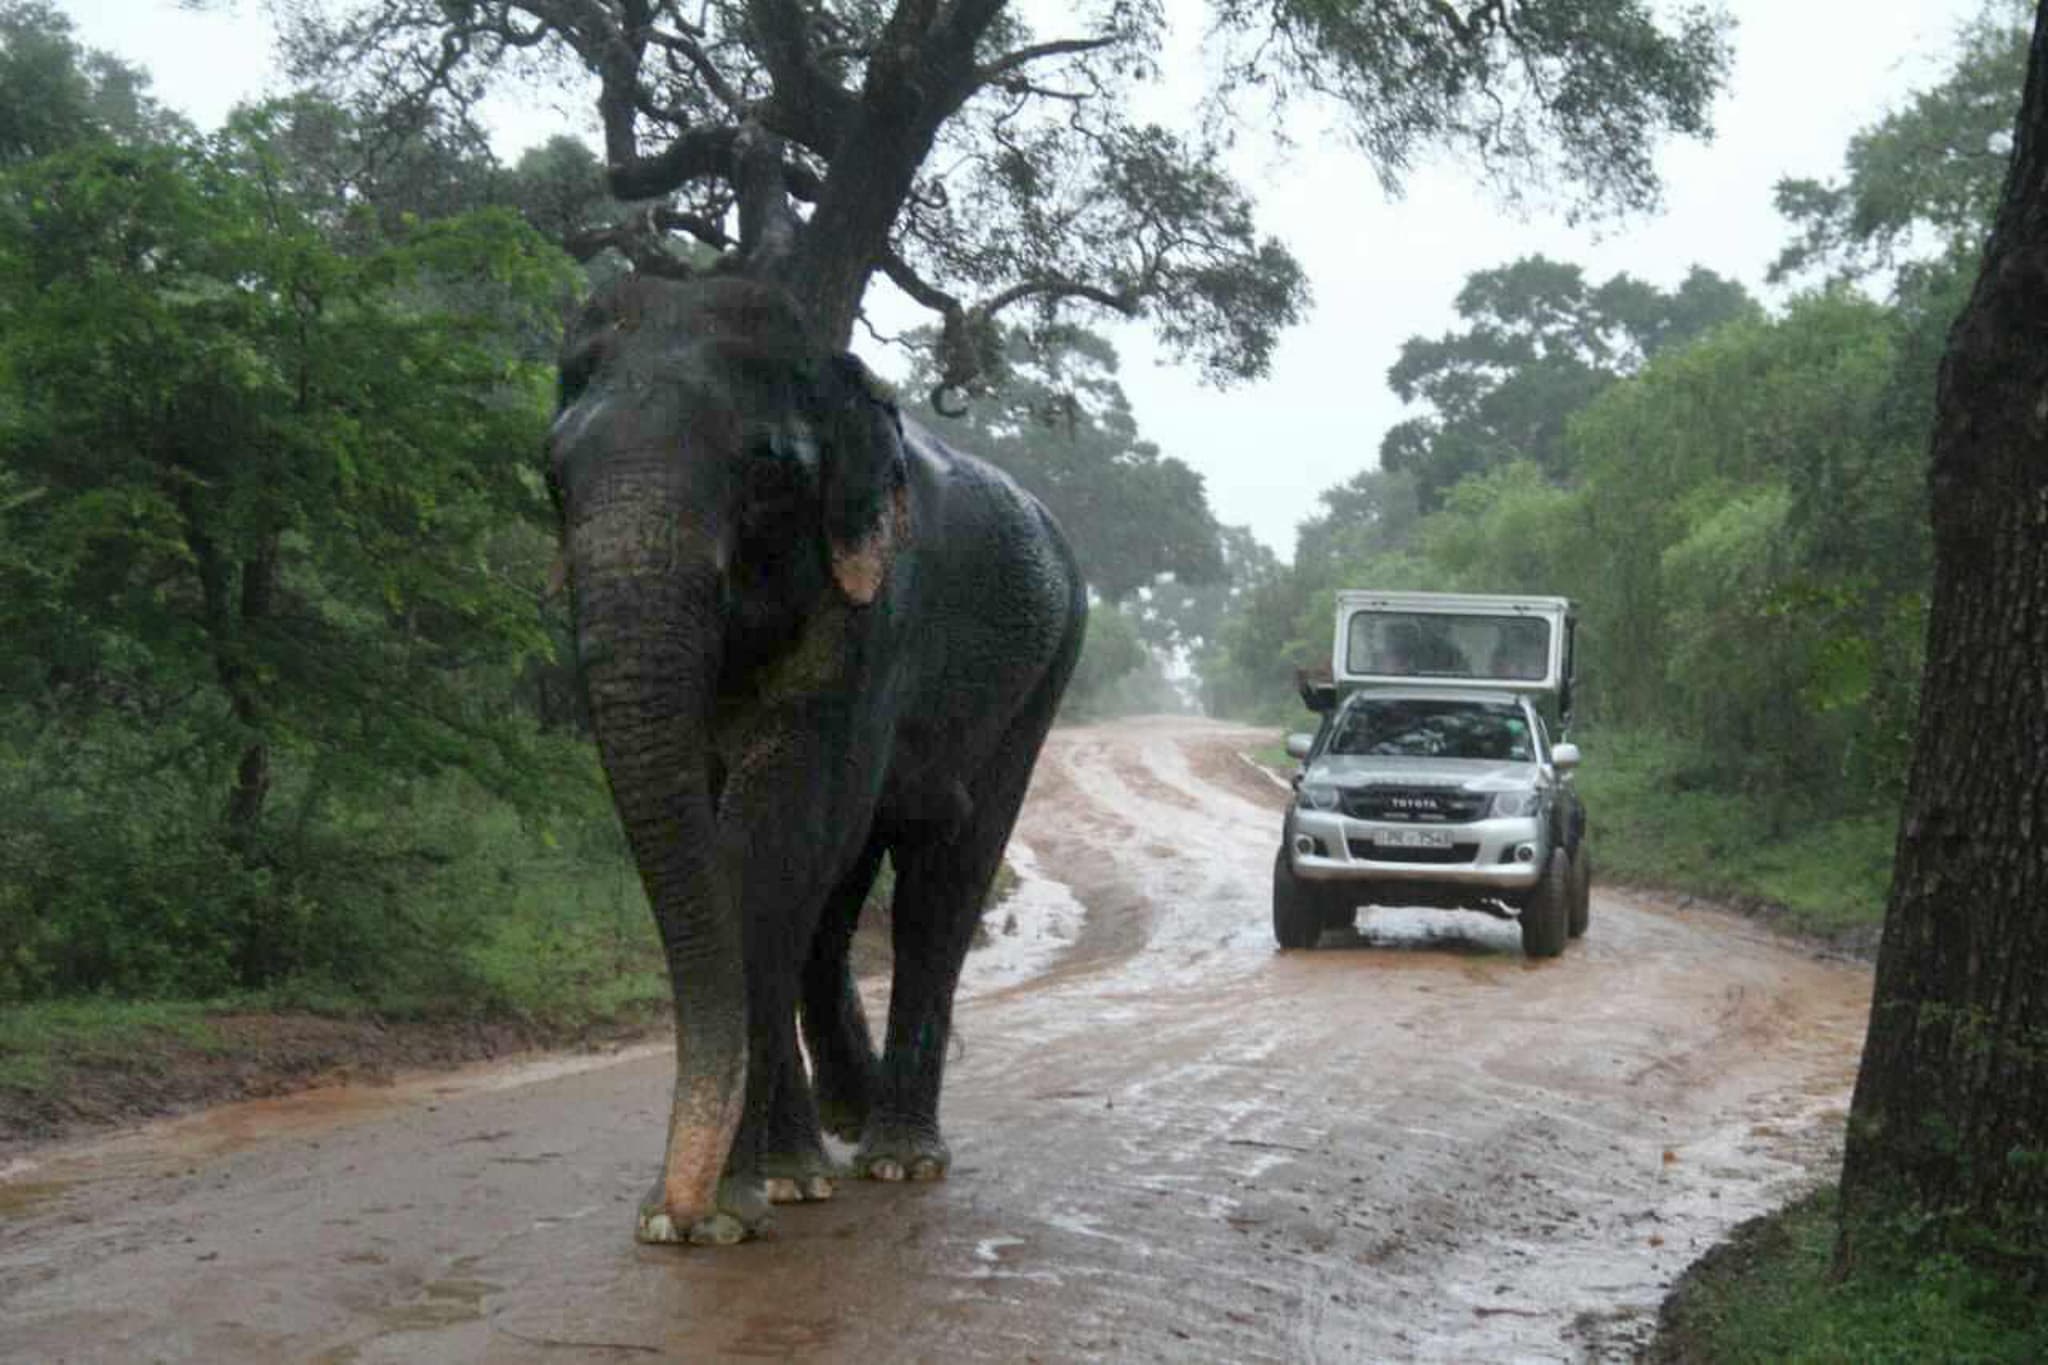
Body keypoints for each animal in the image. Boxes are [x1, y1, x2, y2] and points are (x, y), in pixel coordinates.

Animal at [547, 272, 1087, 1245]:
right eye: (552, 478)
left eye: (766, 473)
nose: (673, 1205)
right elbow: (762, 848)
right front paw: (749, 1194)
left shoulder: (876, 613)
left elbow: (774, 836)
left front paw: (716, 1216)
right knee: (838, 894)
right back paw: (831, 1140)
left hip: (1048, 668)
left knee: (940, 883)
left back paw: (898, 1155)